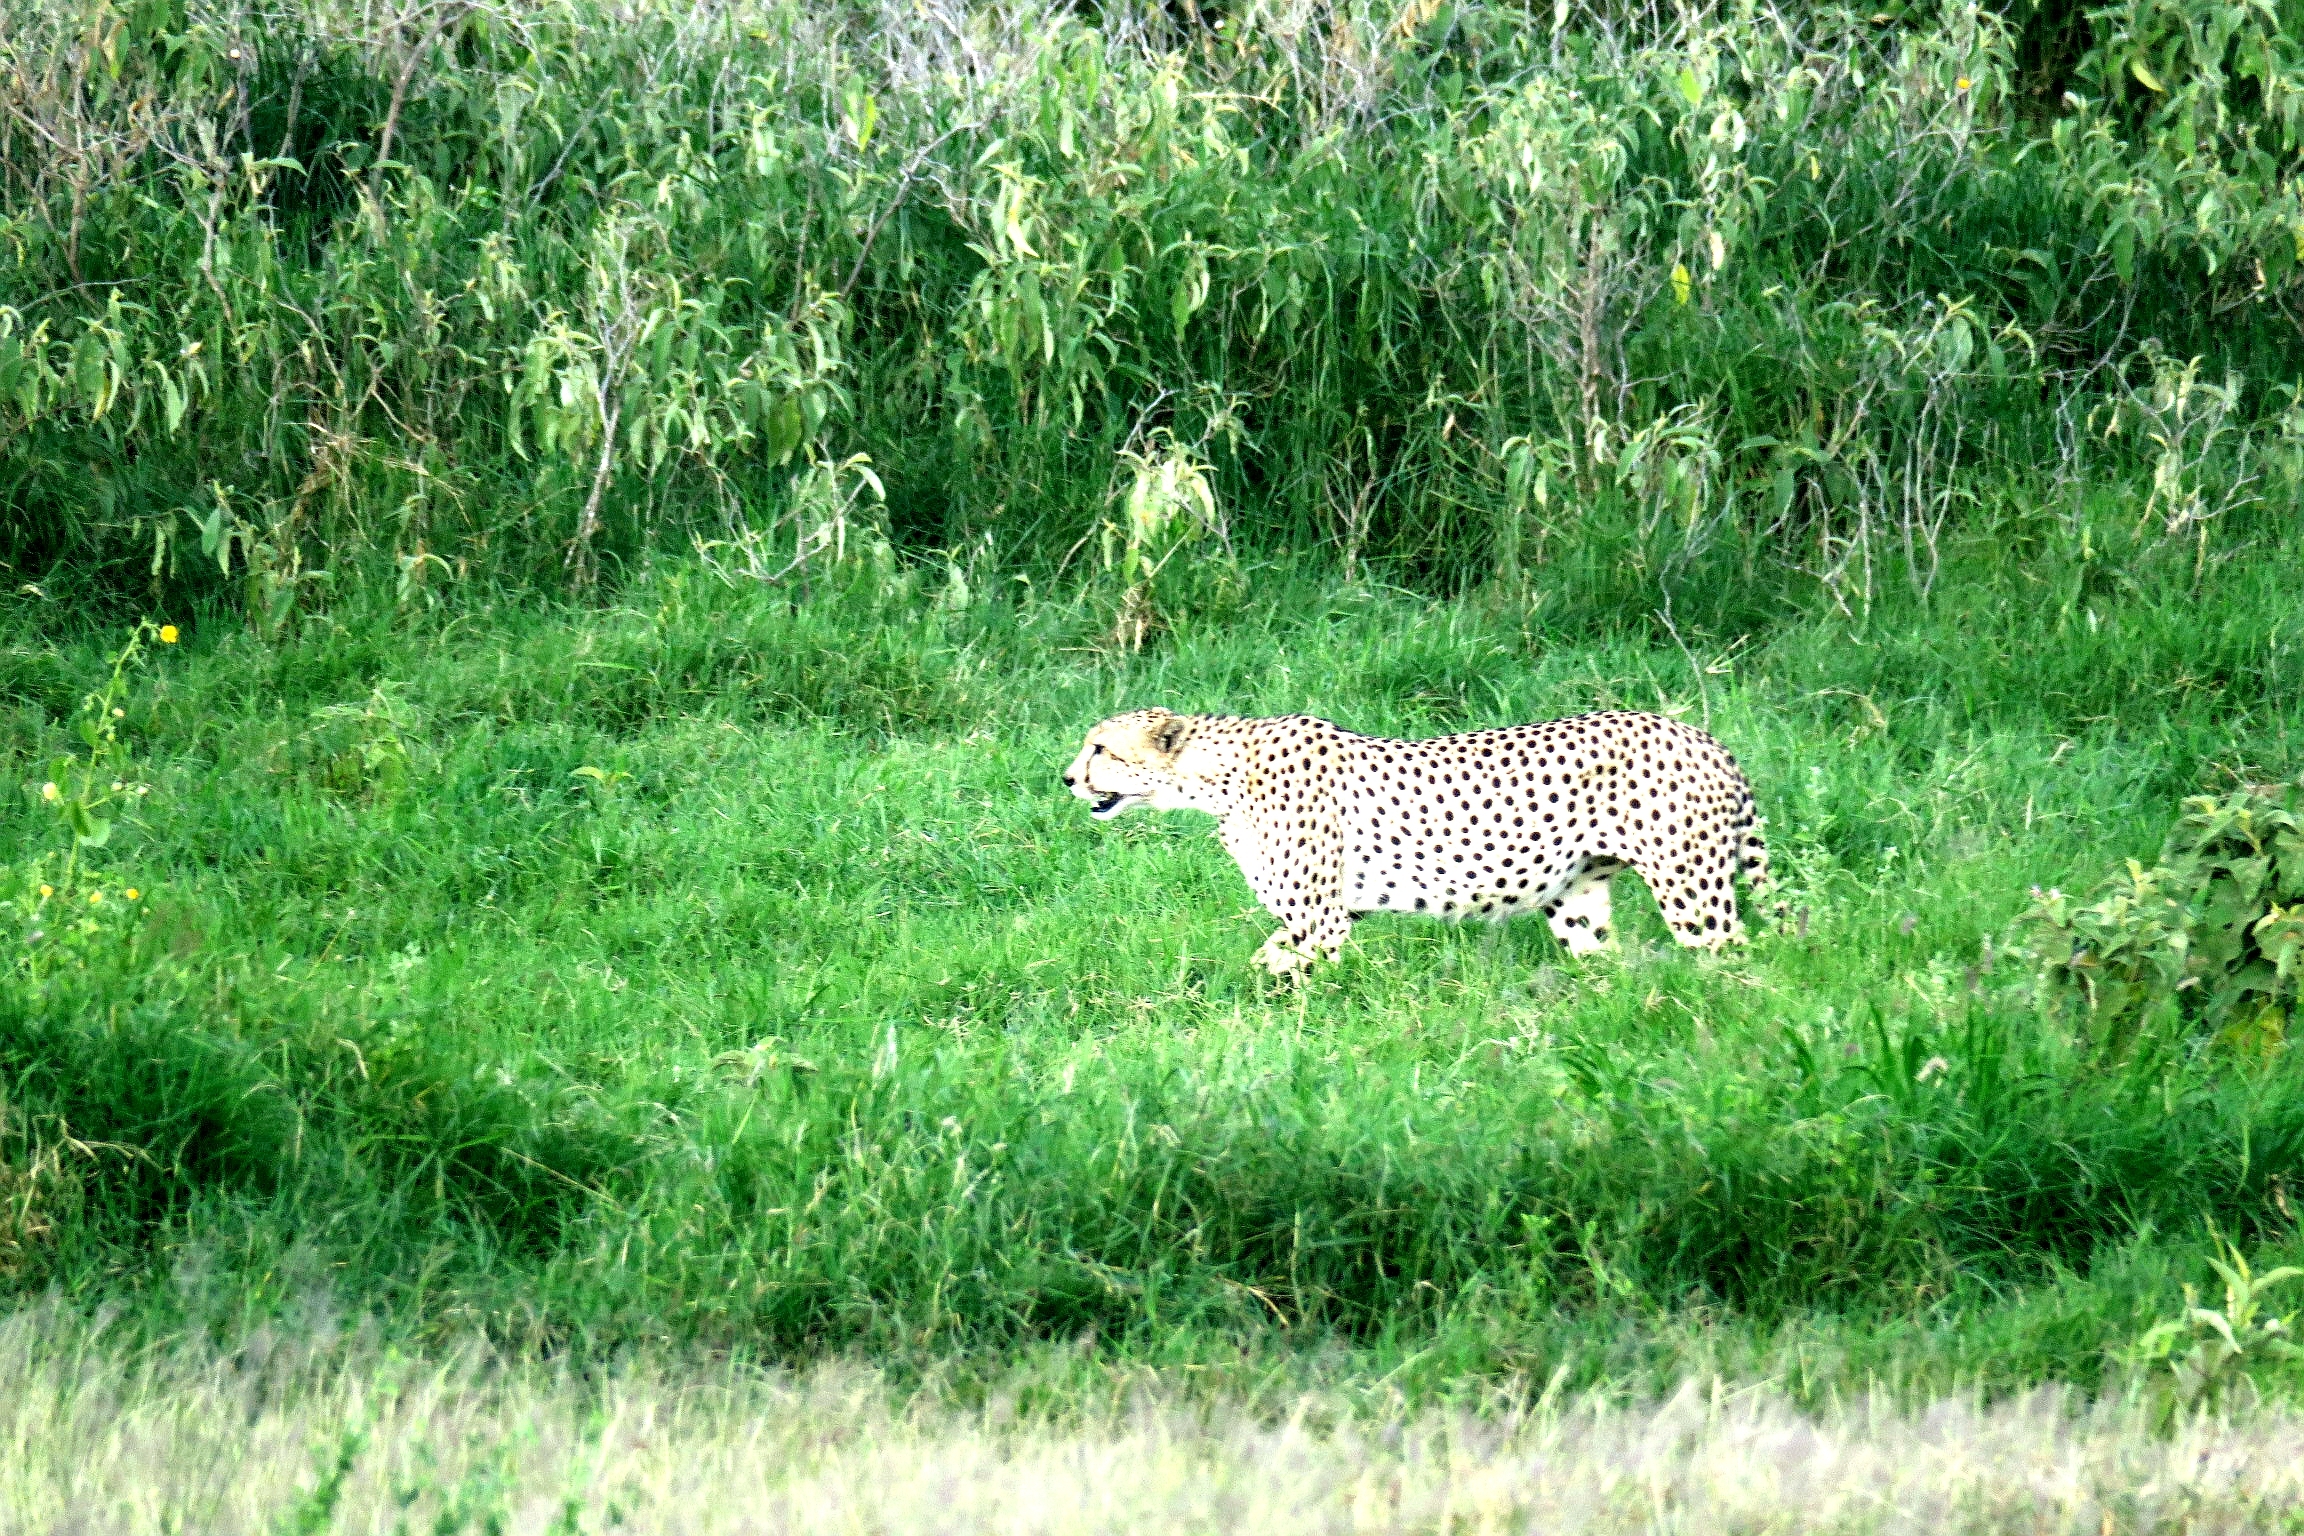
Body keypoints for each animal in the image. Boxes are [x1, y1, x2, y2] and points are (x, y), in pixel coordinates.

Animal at [1064, 713, 1778, 981]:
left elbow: (1291, 980)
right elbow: (1263, 962)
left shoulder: (1322, 921)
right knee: (1604, 965)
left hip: (1692, 894)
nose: (1068, 778)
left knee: (1734, 962)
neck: (1219, 777)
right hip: (1577, 903)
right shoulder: (1327, 914)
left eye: (1100, 748)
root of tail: (1698, 733)